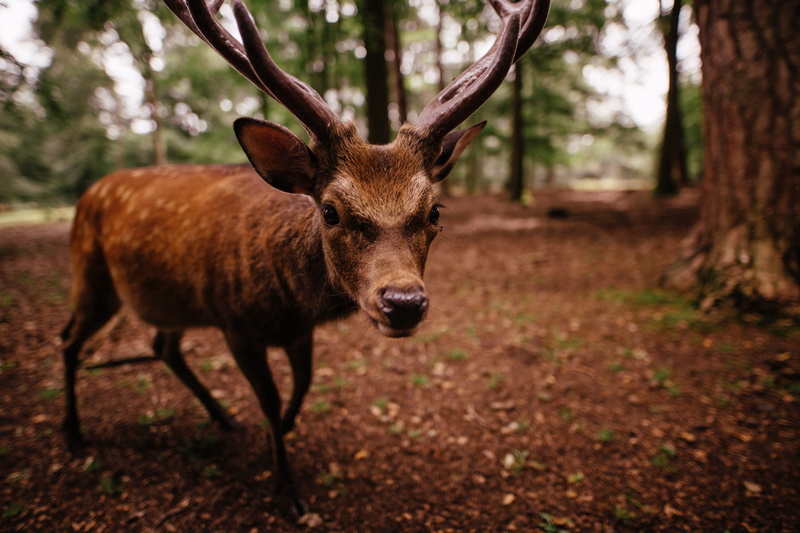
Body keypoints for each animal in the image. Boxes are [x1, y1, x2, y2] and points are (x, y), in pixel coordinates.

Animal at [59, 0, 550, 517]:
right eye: (330, 210)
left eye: (434, 210)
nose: (403, 302)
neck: (287, 301)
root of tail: (87, 194)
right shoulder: (235, 324)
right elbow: (272, 400)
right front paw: (287, 488)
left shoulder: (298, 332)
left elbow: (304, 385)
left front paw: (283, 434)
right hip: (90, 277)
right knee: (70, 338)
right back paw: (72, 432)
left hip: (167, 299)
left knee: (162, 346)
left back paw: (224, 419)